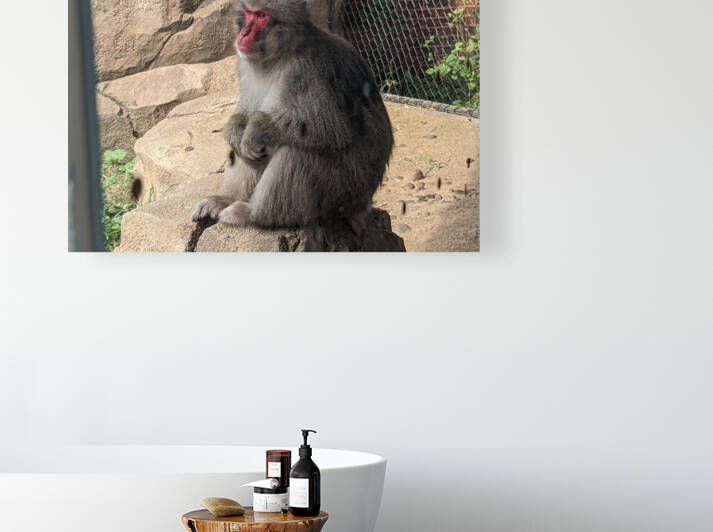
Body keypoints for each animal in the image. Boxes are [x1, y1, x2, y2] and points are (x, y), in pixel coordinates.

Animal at [191, 0, 394, 232]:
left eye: (261, 16)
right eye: (249, 12)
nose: (243, 33)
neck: (278, 56)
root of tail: (362, 203)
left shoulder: (308, 69)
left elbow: (330, 128)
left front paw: (256, 130)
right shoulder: (245, 65)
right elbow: (245, 116)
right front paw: (234, 131)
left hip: (344, 189)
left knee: (296, 150)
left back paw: (254, 214)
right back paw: (225, 199)